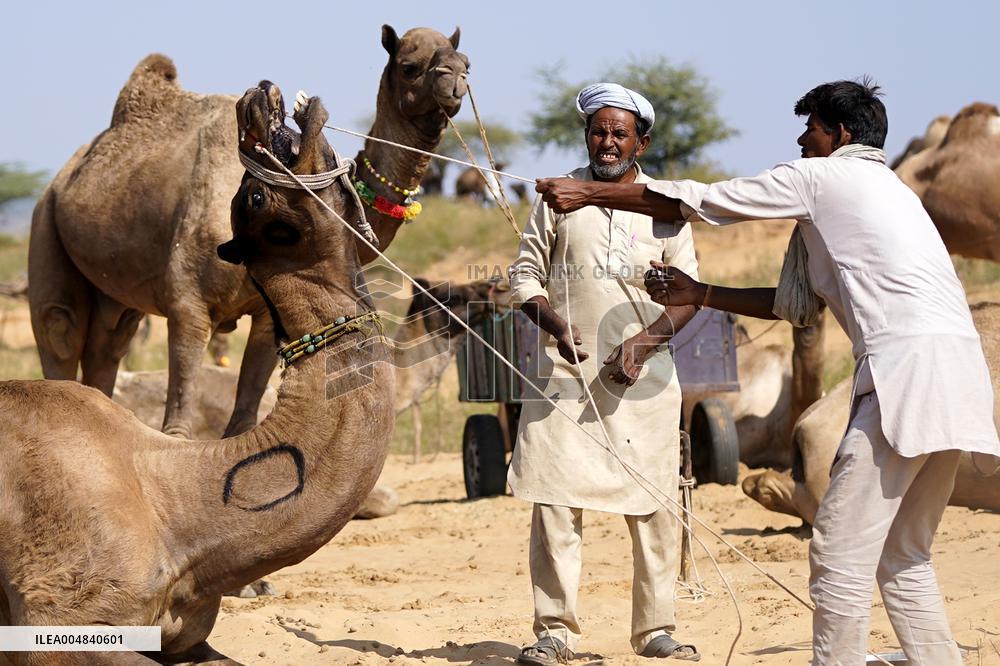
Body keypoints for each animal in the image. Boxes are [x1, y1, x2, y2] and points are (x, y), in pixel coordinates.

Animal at [29, 25, 467, 441]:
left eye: (464, 60)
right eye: (410, 66)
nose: (455, 77)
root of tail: (61, 180)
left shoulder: (264, 313)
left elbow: (243, 420)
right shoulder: (188, 303)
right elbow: (178, 425)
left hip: (114, 294)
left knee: (107, 348)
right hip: (45, 224)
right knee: (60, 331)